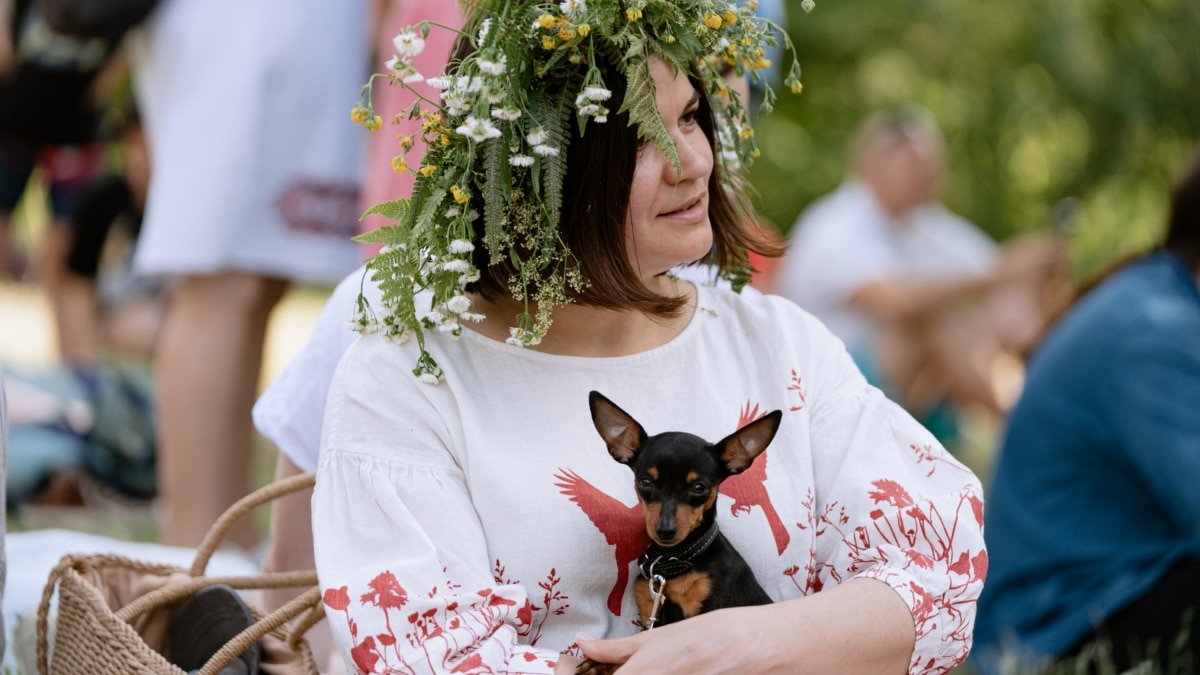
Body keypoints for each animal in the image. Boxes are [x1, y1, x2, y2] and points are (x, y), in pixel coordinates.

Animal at [576, 391, 782, 667]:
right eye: (645, 482)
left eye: (699, 488)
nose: (665, 530)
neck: (673, 563)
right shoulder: (649, 614)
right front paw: (598, 664)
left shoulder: (705, 613)